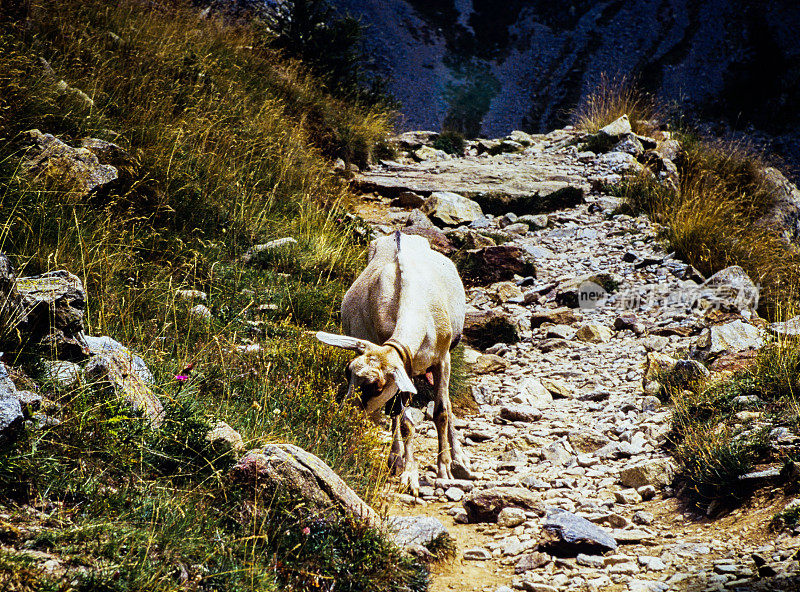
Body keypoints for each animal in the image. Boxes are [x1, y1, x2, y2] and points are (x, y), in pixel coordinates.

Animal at [318, 231, 472, 494]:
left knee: (445, 406)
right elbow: (404, 421)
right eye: (348, 373)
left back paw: (458, 457)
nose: (343, 416)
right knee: (395, 414)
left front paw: (444, 468)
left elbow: (442, 410)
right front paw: (409, 473)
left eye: (376, 386)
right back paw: (396, 458)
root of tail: (400, 234)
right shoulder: (403, 369)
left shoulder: (442, 359)